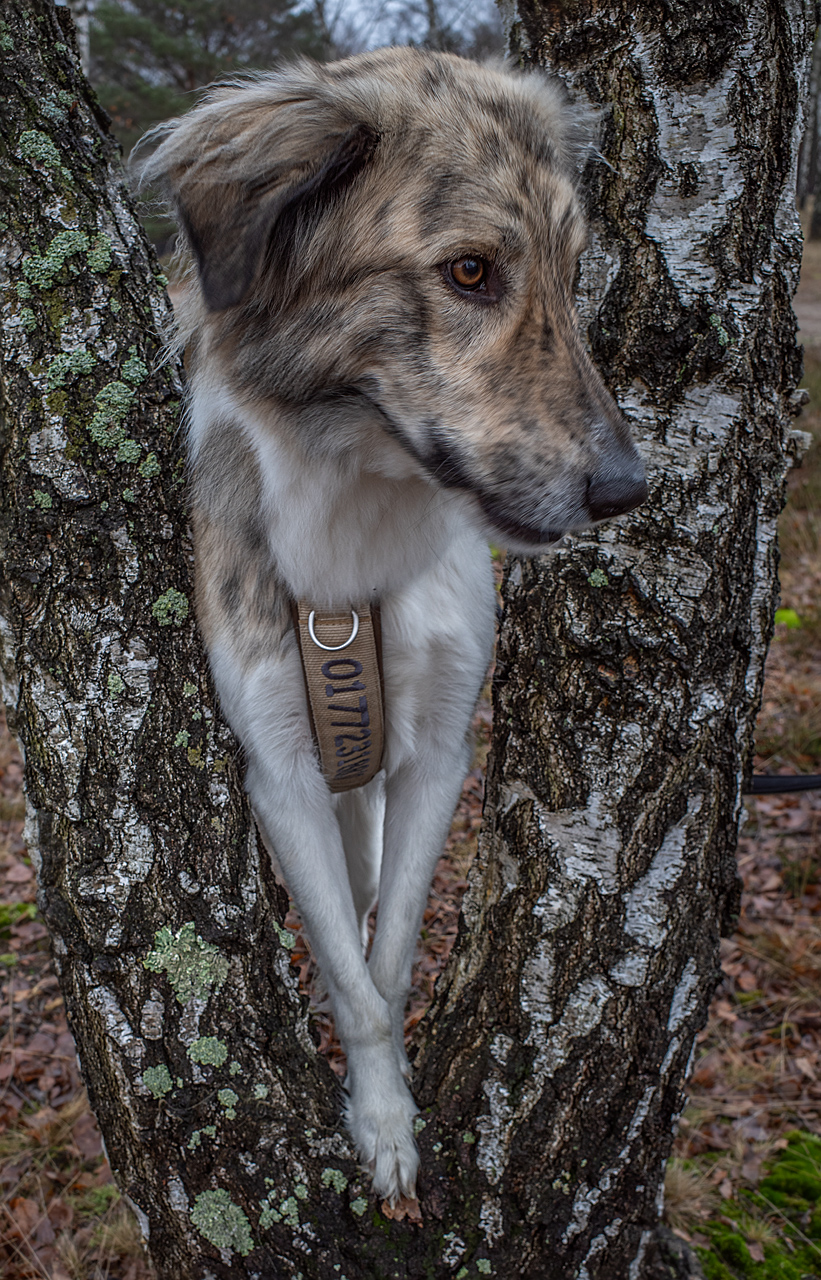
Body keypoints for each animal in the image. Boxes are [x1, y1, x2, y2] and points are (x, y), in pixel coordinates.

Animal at [137, 49, 642, 1203]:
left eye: (573, 273)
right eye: (469, 272)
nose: (625, 491)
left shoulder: (439, 749)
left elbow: (393, 950)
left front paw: (395, 1100)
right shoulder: (278, 763)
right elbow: (351, 980)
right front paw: (378, 1121)